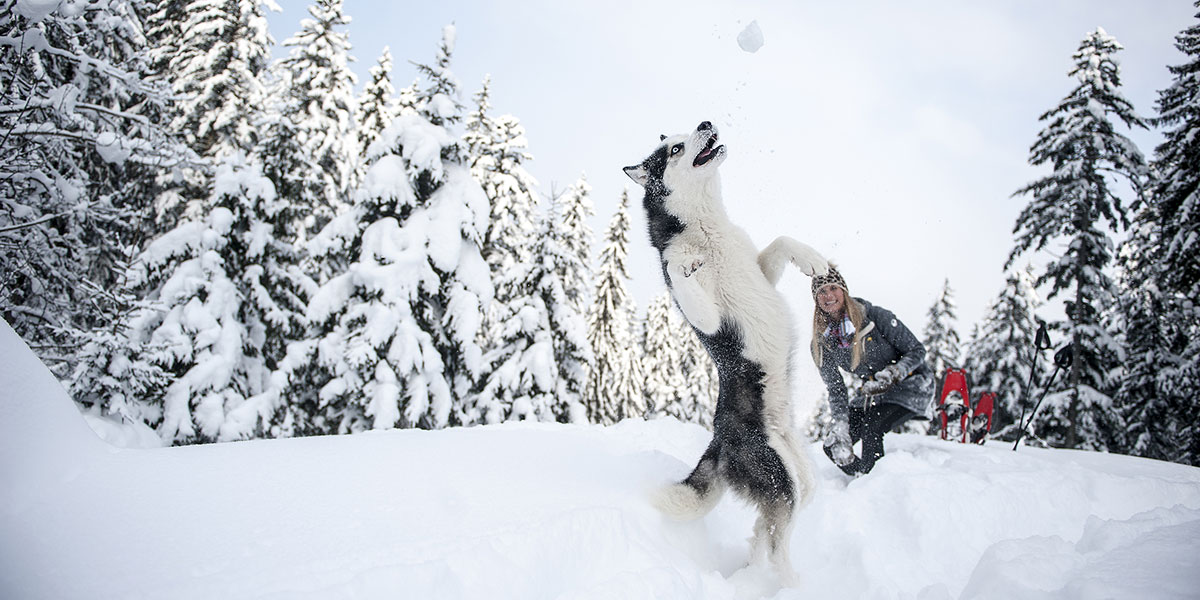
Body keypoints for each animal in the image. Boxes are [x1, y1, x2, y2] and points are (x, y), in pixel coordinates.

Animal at [624, 118, 830, 580]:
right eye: (675, 149)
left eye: (684, 132)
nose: (705, 123)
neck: (707, 228)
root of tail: (718, 441)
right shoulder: (707, 318)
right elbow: (681, 277)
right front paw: (685, 265)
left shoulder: (761, 271)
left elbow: (781, 241)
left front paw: (814, 260)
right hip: (779, 477)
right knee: (777, 543)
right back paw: (788, 583)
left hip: (800, 474)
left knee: (768, 527)